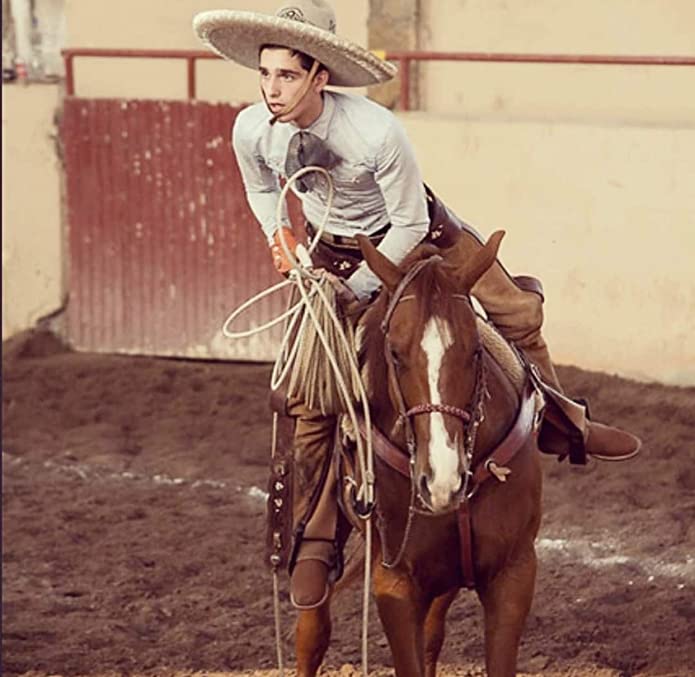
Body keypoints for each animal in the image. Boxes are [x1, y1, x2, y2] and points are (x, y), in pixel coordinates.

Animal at [294, 232, 544, 676]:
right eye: (395, 352)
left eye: (475, 351)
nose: (442, 481)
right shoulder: (395, 584)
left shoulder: (514, 572)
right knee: (312, 628)